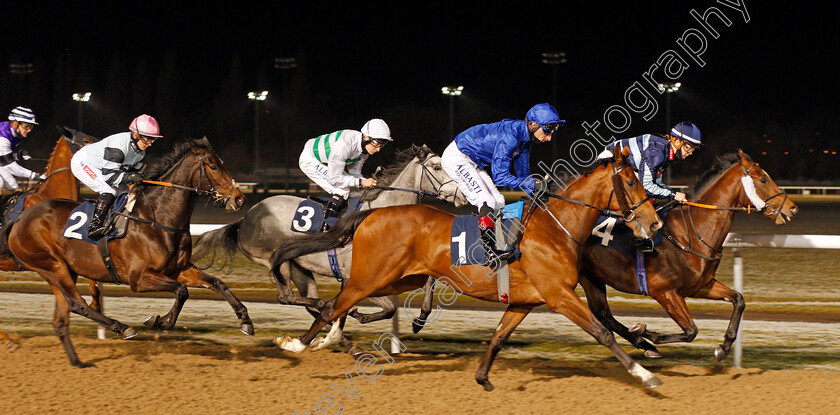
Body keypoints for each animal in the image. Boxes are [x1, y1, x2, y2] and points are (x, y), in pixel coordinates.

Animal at [0, 137, 249, 368]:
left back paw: (78, 362)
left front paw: (245, 320)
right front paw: (159, 321)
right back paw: (122, 328)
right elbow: (182, 291)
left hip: (61, 270)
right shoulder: (138, 279)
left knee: (62, 318)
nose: (239, 198)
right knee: (78, 304)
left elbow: (216, 283)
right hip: (52, 265)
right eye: (213, 166)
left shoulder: (178, 269)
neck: (157, 218)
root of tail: (19, 221)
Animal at [272, 147, 668, 394]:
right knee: (334, 305)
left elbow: (498, 337)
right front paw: (645, 375)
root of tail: (372, 213)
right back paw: (296, 343)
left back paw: (325, 340)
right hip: (371, 277)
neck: (557, 227)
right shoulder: (559, 296)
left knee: (339, 305)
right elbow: (603, 333)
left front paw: (482, 378)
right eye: (630, 182)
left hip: (398, 278)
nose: (655, 223)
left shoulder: (524, 302)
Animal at [580, 150, 796, 360]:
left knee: (603, 314)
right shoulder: (664, 292)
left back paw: (645, 345)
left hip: (593, 277)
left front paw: (724, 346)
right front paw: (643, 331)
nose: (792, 208)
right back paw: (644, 342)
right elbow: (691, 331)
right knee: (603, 315)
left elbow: (738, 300)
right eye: (763, 179)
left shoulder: (700, 286)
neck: (689, 233)